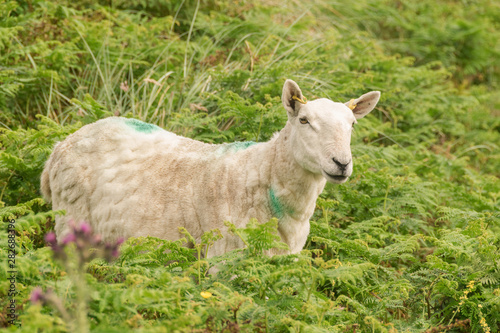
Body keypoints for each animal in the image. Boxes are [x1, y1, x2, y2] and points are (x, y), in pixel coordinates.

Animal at [41, 79, 380, 255]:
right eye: (304, 120)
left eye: (352, 124)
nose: (341, 163)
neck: (263, 172)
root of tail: (60, 146)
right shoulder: (223, 260)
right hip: (70, 220)